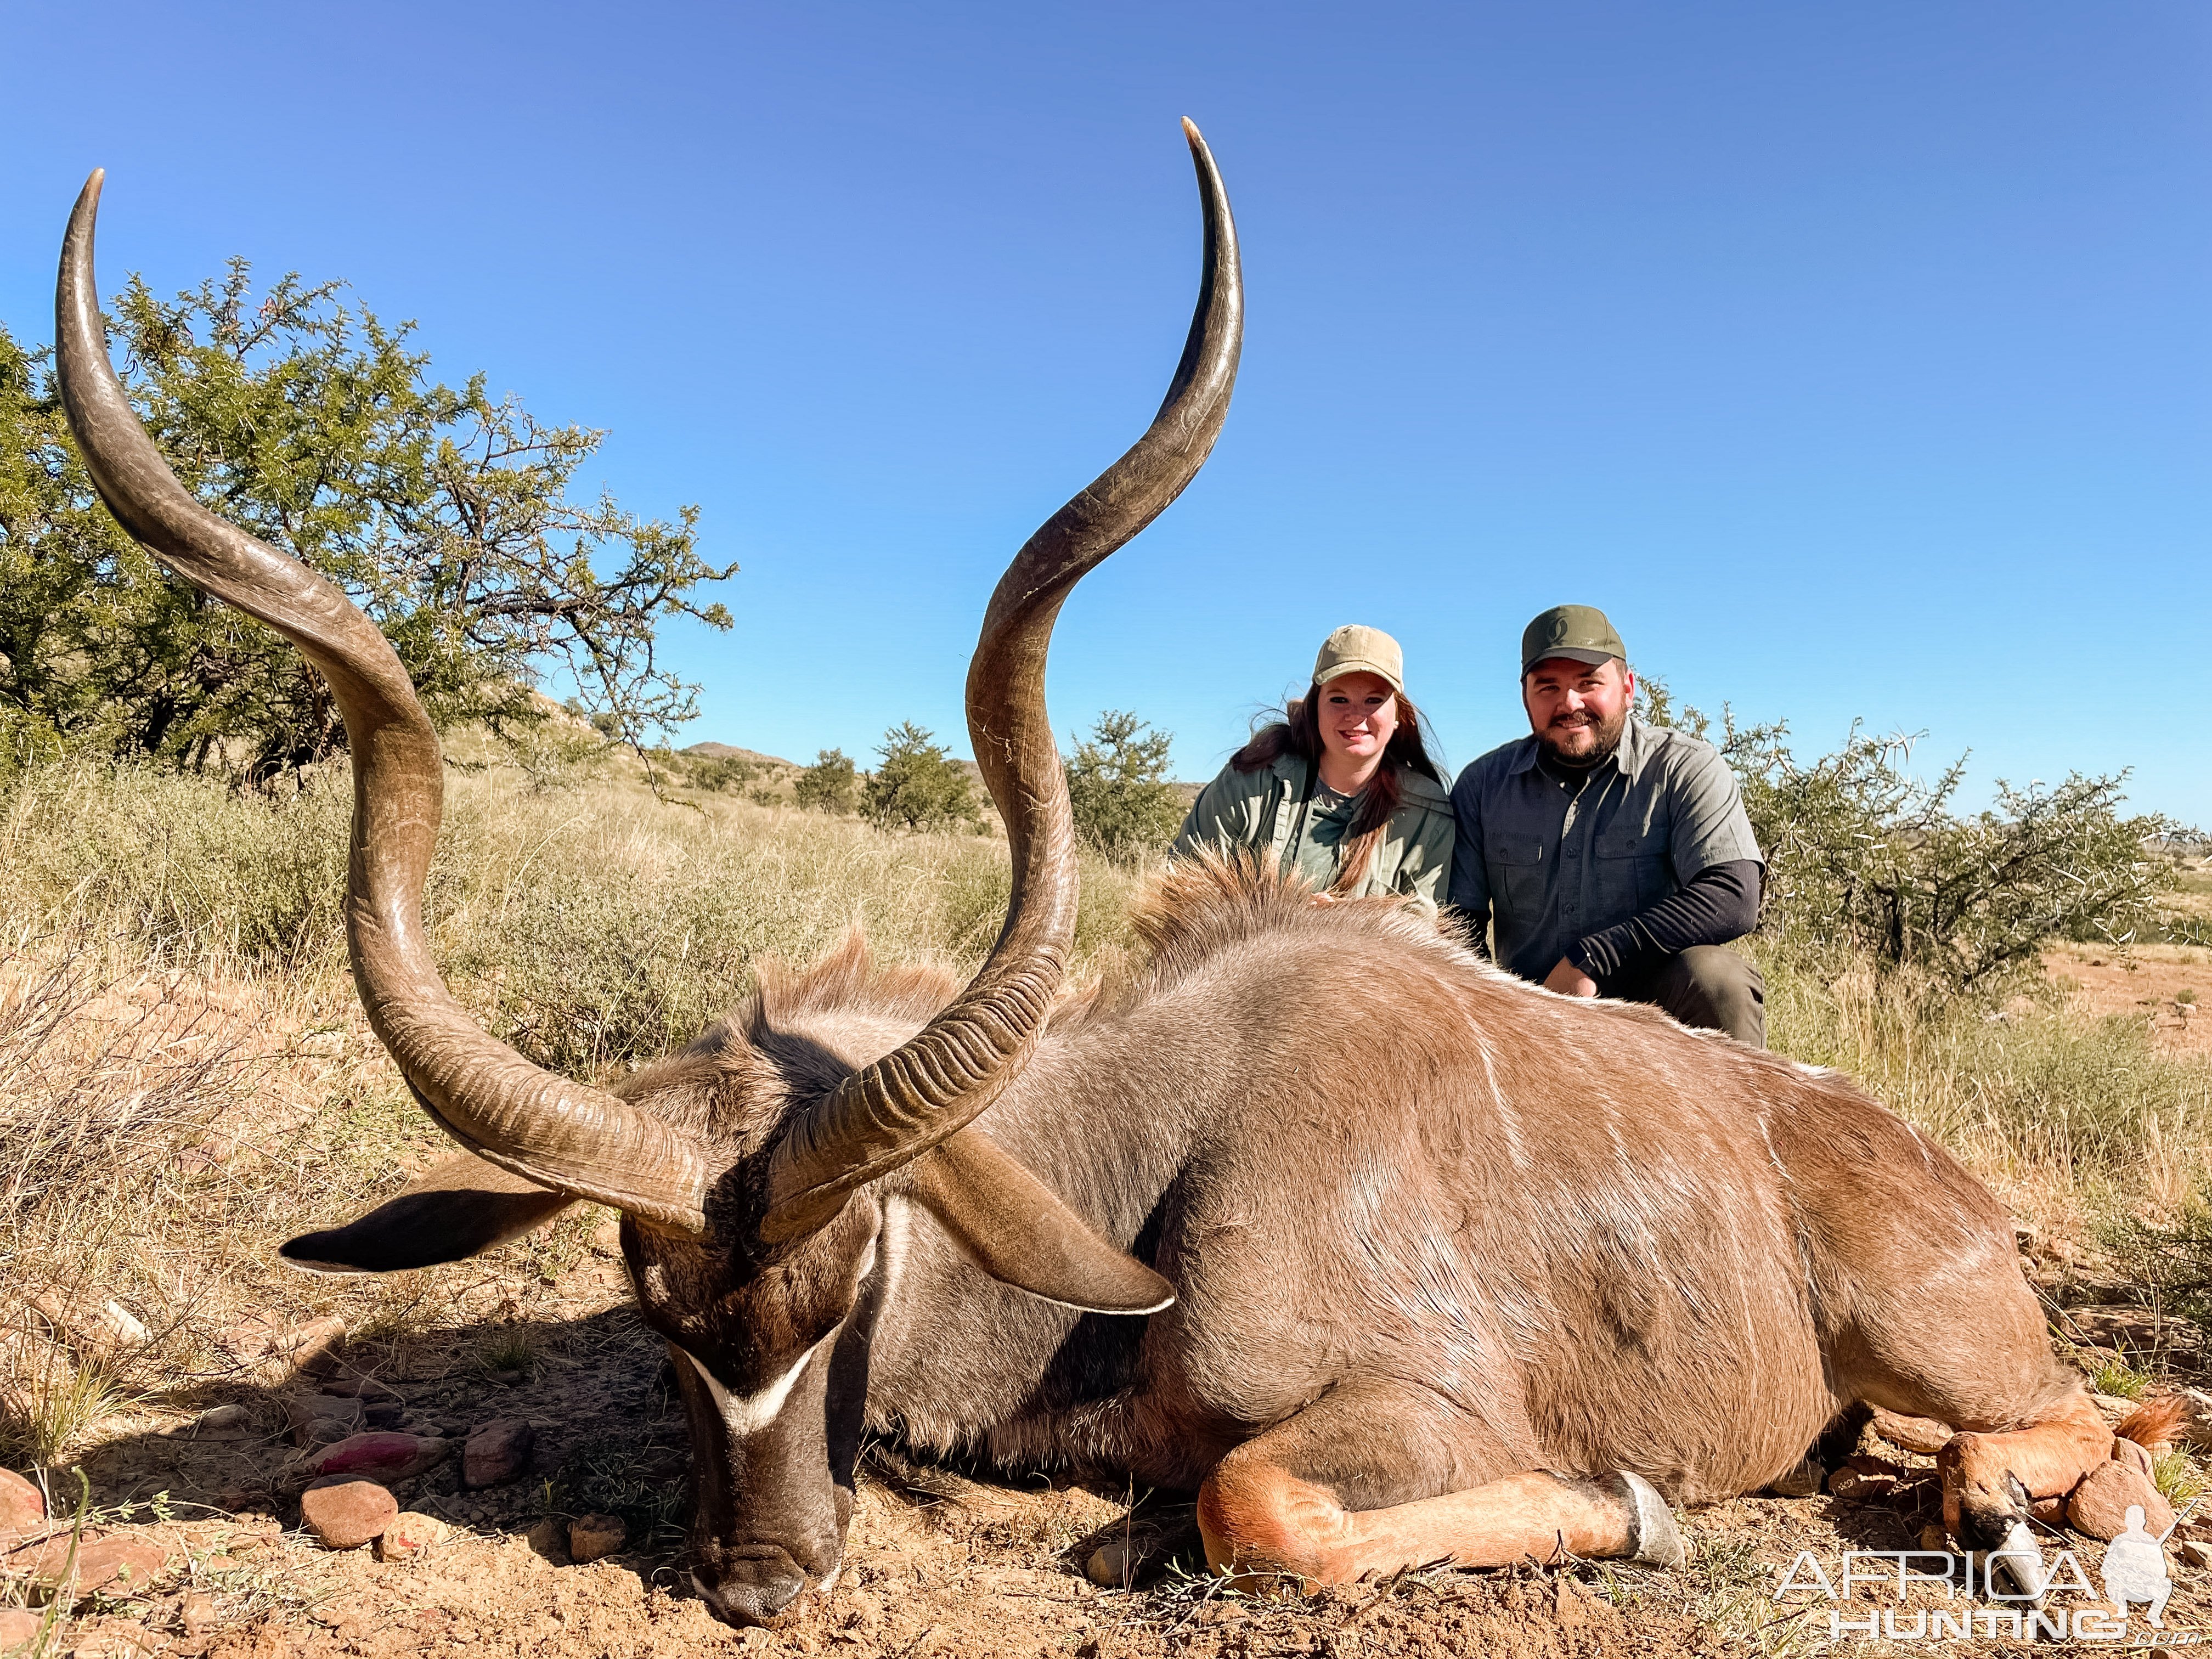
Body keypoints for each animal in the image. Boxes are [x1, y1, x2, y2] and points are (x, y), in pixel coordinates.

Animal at [56, 126, 2159, 1628]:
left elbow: (1251, 1496)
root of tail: (1931, 1175)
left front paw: (1631, 1504)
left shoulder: (1408, 1412)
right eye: (655, 1315)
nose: (761, 1579)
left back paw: (2027, 1509)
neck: (1154, 1138)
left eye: (857, 1275)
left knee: (2089, 1416)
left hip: (1939, 1338)